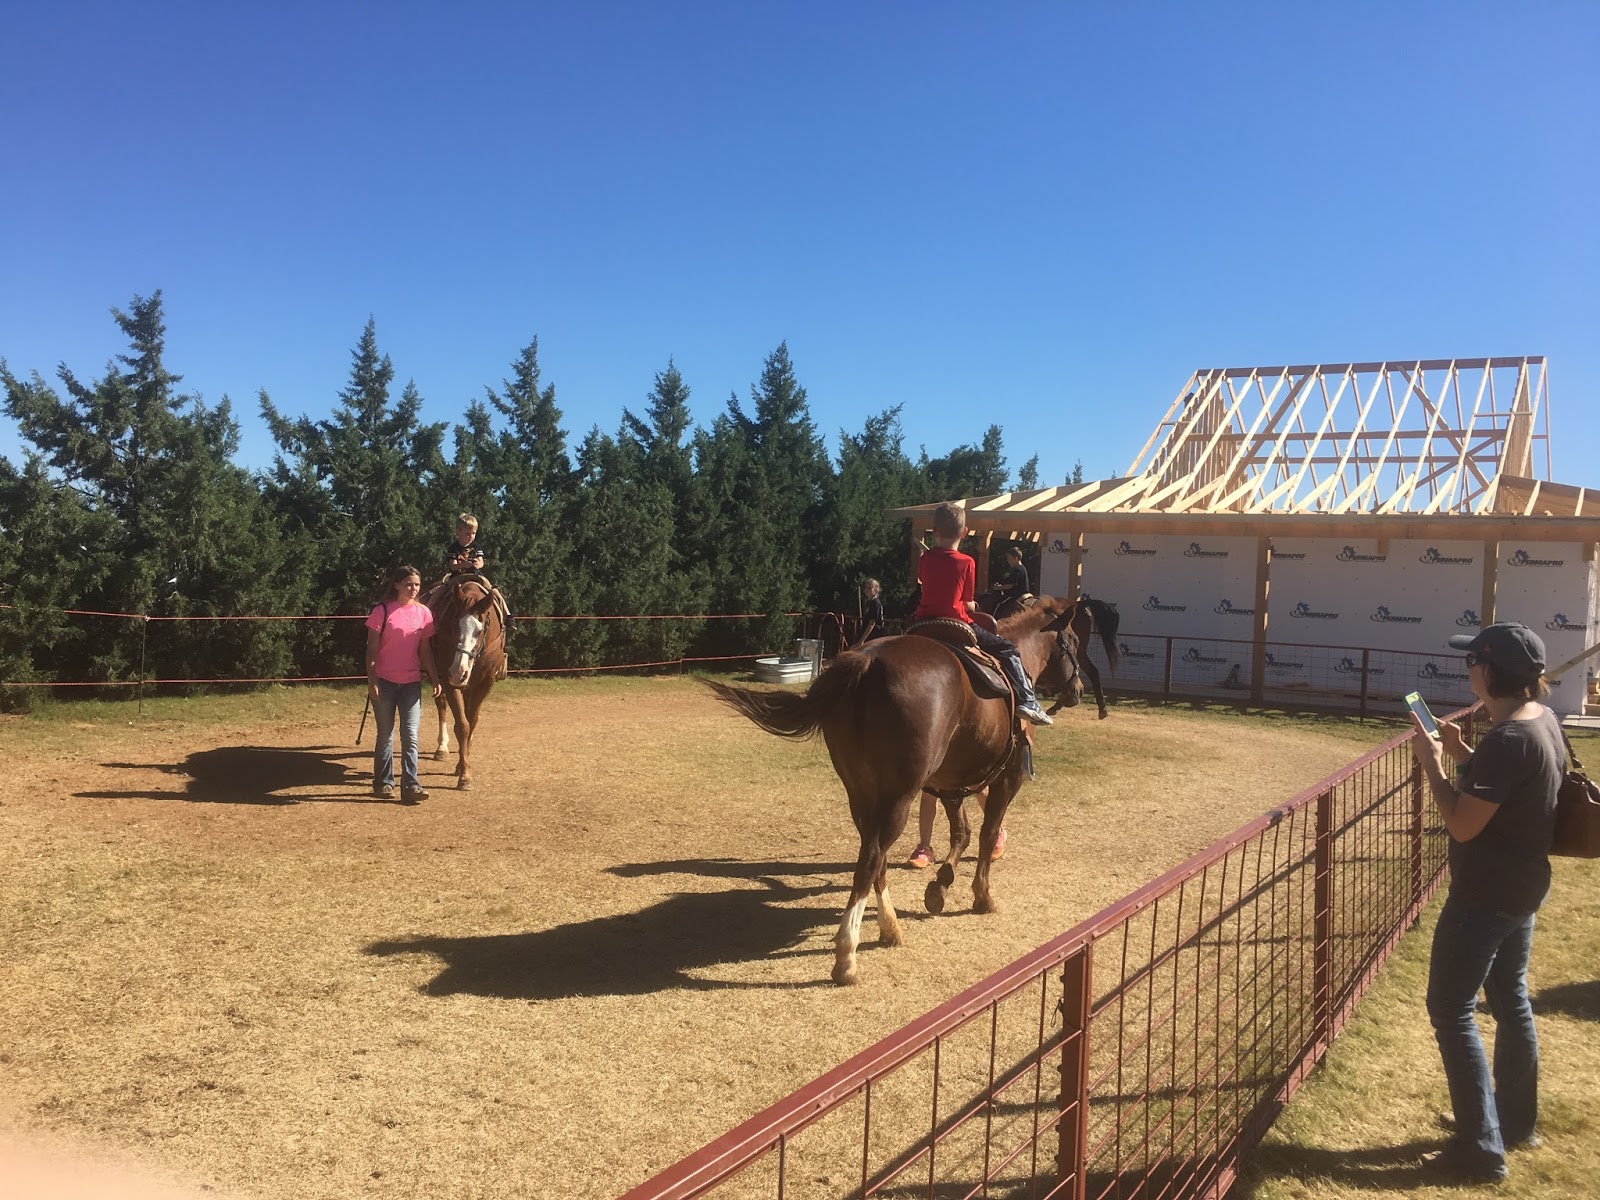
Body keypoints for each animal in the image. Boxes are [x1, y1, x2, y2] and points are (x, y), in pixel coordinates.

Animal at [428, 575, 507, 791]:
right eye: (454, 625)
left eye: (480, 630)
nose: (458, 672)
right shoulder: (448, 682)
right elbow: (462, 726)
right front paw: (464, 775)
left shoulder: (485, 682)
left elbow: (472, 722)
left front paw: (463, 763)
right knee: (441, 706)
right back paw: (442, 748)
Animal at [704, 598, 1085, 986]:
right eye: (1074, 641)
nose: (1079, 689)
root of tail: (867, 661)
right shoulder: (1008, 778)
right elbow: (985, 833)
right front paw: (982, 896)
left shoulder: (950, 783)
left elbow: (961, 833)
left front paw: (939, 887)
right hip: (898, 796)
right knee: (872, 859)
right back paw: (847, 956)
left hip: (862, 794)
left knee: (876, 859)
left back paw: (889, 929)